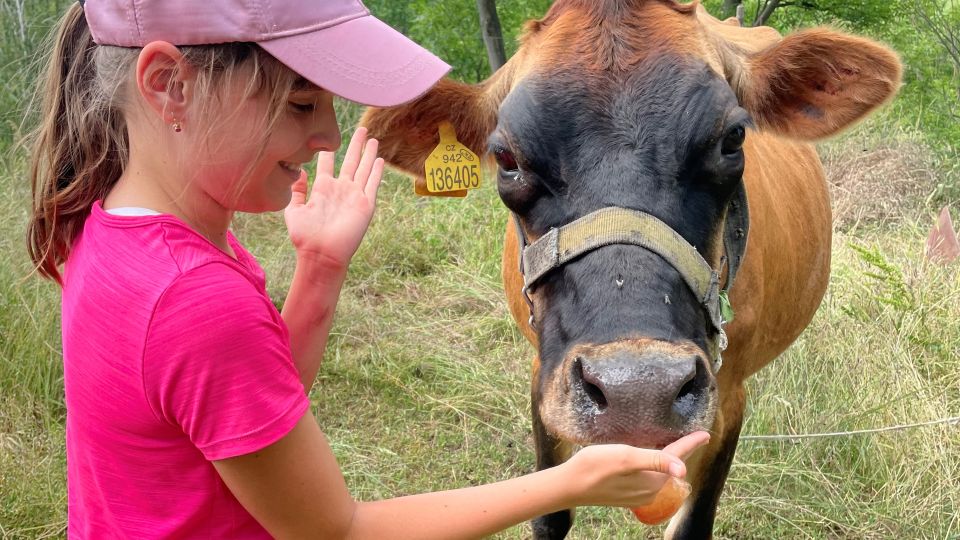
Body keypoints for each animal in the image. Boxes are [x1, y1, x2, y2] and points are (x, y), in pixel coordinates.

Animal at [358, 2, 900, 536]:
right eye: (506, 157)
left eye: (733, 138)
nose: (638, 391)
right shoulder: (542, 377)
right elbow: (550, 513)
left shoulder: (728, 397)